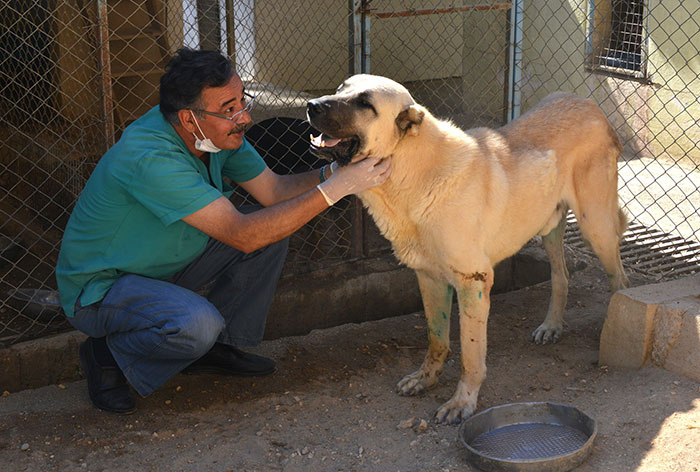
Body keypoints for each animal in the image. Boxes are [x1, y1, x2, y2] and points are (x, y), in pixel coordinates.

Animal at [306, 74, 628, 424]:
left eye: (365, 103)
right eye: (341, 88)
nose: (310, 105)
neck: (415, 169)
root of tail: (590, 105)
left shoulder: (474, 282)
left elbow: (470, 355)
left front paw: (462, 402)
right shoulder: (429, 278)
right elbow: (436, 340)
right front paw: (426, 379)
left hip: (596, 226)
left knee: (620, 280)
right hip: (549, 227)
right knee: (561, 276)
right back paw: (552, 326)